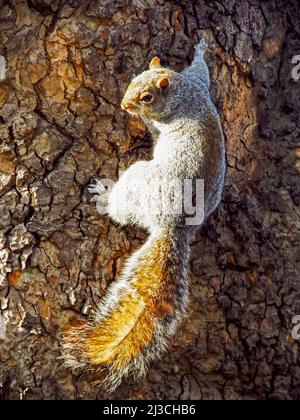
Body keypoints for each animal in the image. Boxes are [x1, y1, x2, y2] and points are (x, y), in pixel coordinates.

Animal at [62, 39, 225, 390]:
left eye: (147, 97)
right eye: (135, 77)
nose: (124, 104)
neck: (181, 92)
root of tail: (174, 225)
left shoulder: (162, 118)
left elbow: (152, 124)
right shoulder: (198, 83)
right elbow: (201, 69)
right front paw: (202, 49)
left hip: (141, 183)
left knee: (122, 208)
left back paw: (105, 198)